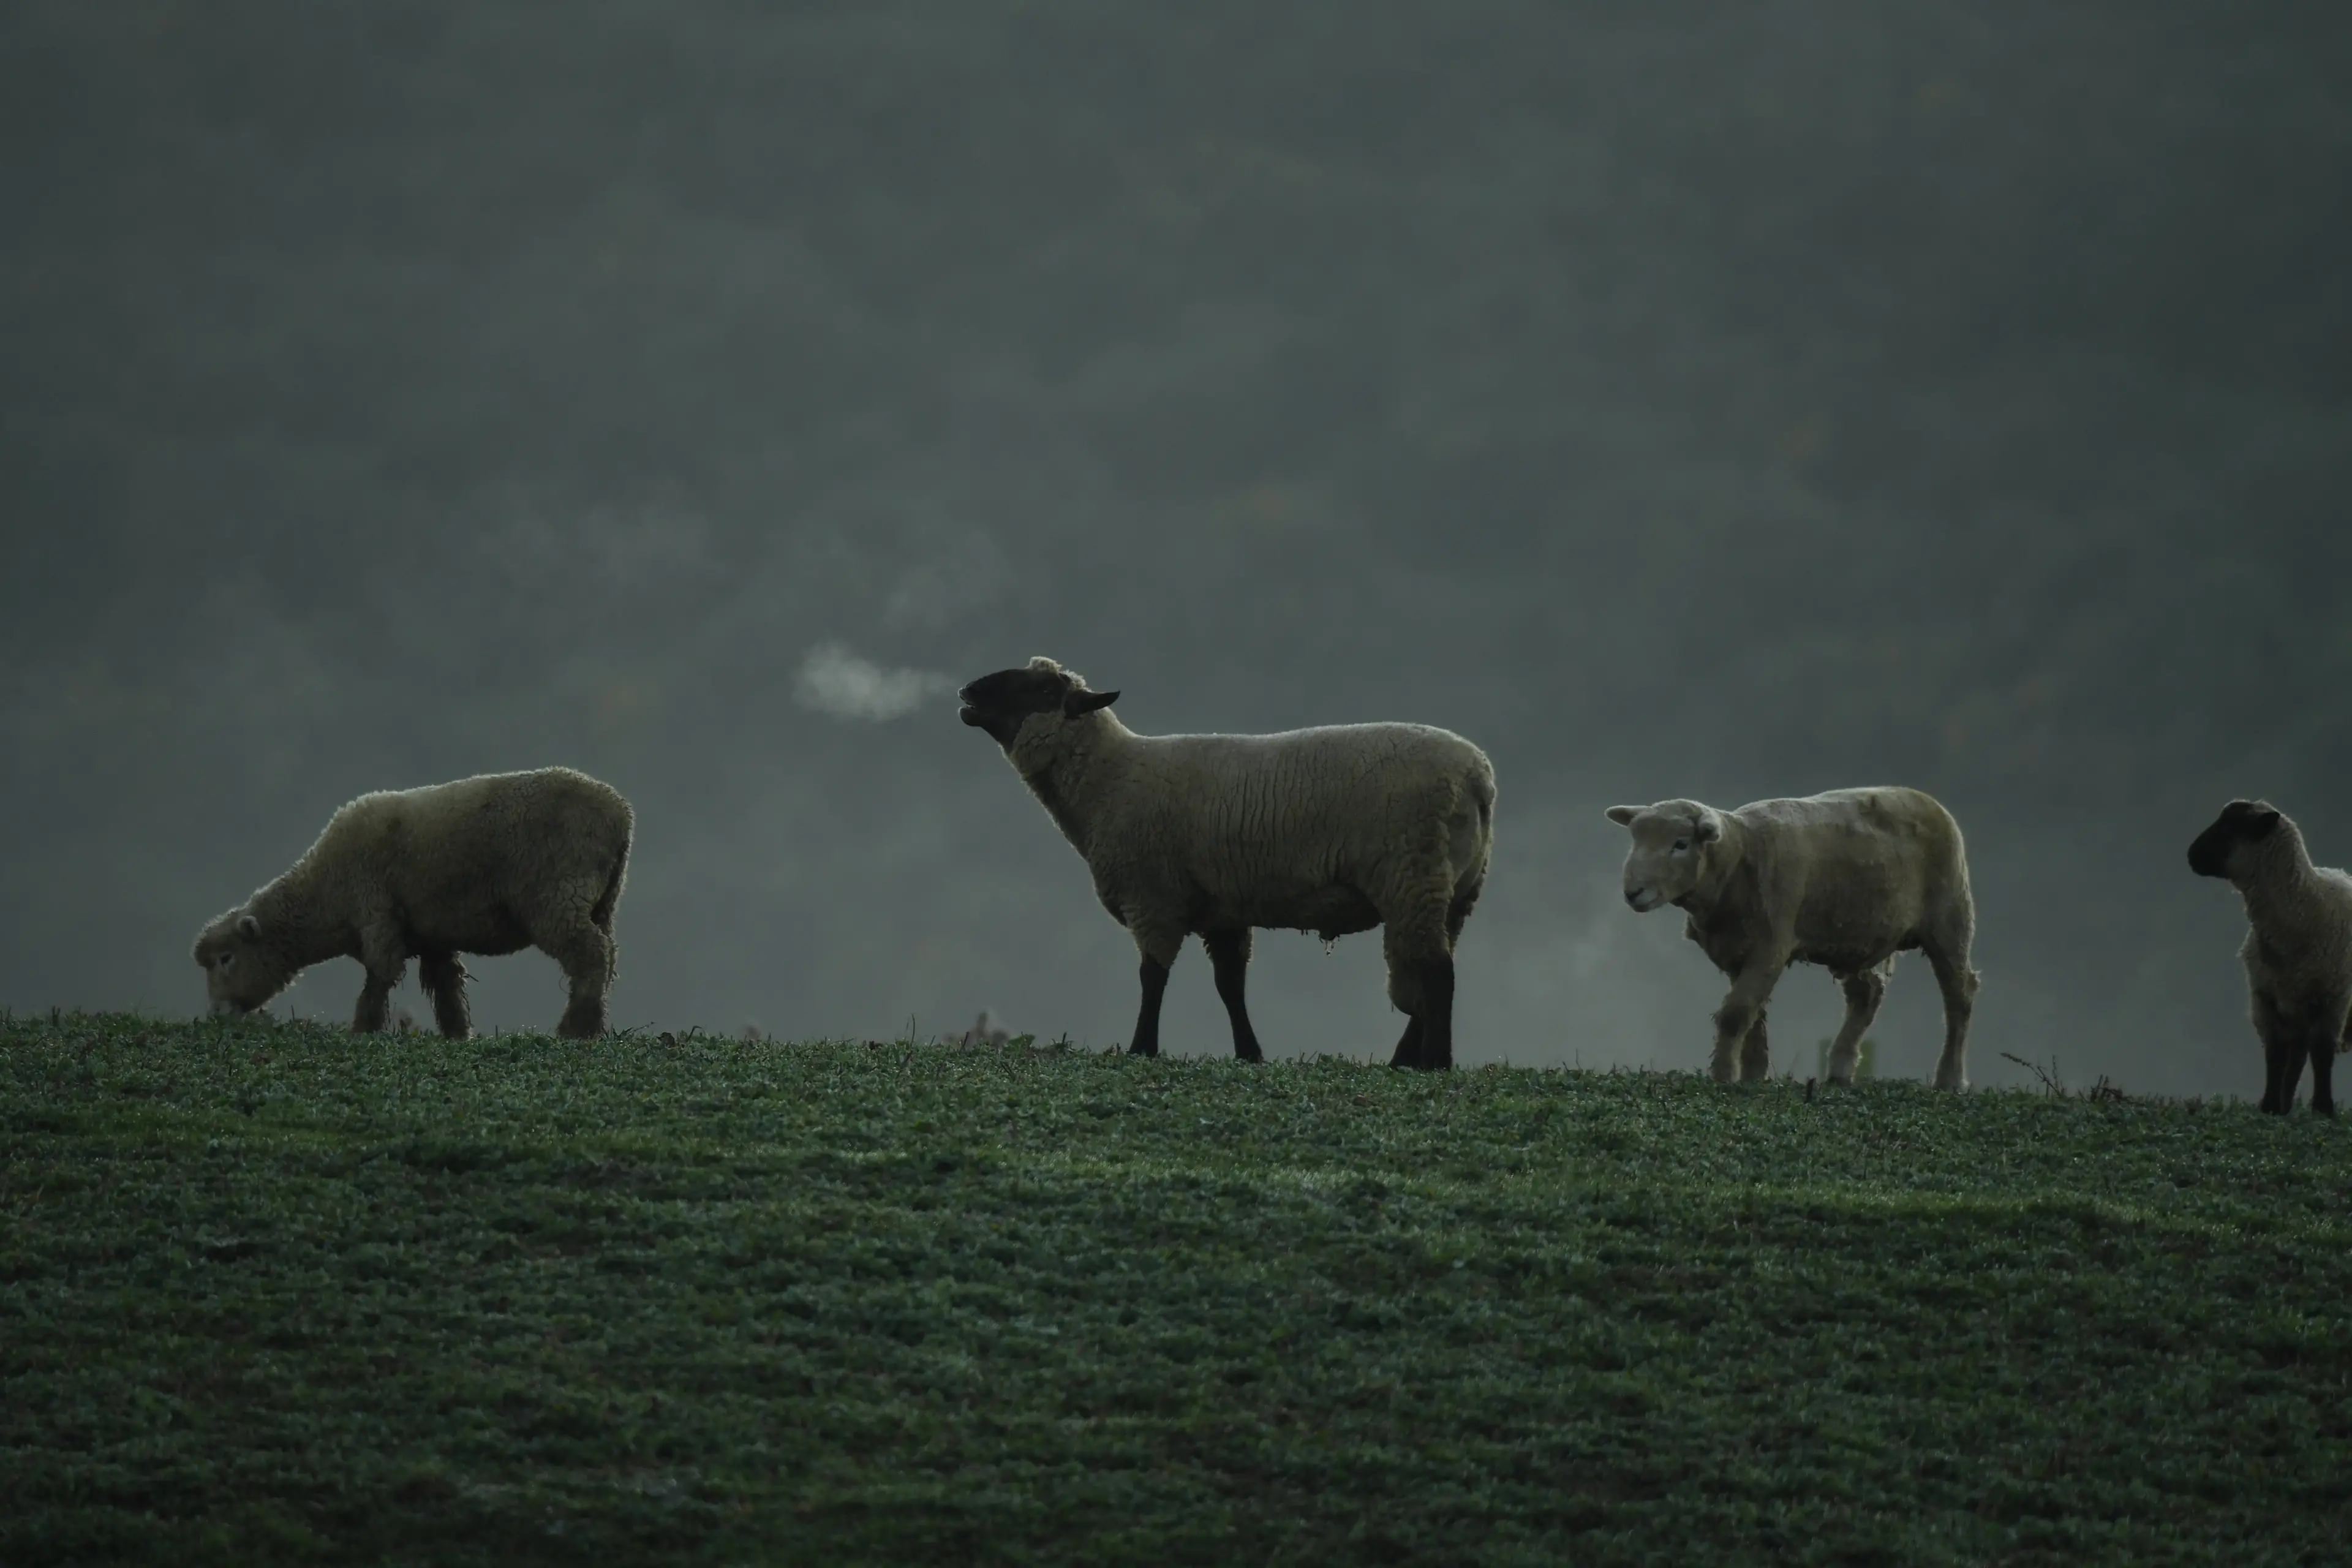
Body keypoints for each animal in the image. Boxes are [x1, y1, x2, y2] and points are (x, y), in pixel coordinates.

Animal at [191, 767, 633, 1039]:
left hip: (558, 895)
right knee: (607, 954)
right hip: (603, 902)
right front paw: (458, 1034)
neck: (323, 892)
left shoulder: (376, 913)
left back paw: (576, 1028)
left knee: (591, 955)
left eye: (226, 958)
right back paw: (593, 1023)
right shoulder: (432, 935)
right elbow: (446, 986)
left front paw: (363, 1030)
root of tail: (620, 814)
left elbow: (379, 976)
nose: (216, 1015)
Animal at [956, 657, 1495, 1070]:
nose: (967, 691)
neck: (1109, 779)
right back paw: (1406, 1059)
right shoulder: (1223, 909)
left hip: (1413, 874)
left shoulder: (1154, 896)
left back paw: (1437, 1062)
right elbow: (1230, 987)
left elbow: (1152, 976)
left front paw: (1141, 1049)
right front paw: (1249, 1054)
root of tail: (1478, 776)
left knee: (1437, 973)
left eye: (1043, 689)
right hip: (1455, 889)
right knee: (1428, 970)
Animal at [1606, 787, 1979, 1089]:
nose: (1632, 892)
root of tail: (1925, 799)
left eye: (1680, 844)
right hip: (1859, 937)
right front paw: (1753, 1075)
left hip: (1951, 918)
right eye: (1636, 842)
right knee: (1867, 996)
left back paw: (1950, 1078)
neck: (1739, 858)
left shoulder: (1771, 946)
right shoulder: (1738, 952)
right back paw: (1840, 1069)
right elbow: (1752, 1015)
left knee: (1959, 995)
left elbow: (1736, 1014)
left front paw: (1724, 1076)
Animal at [2187, 799, 2352, 1116]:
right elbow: (2276, 1055)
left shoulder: (2334, 997)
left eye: (2230, 829)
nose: (2191, 856)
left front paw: (2323, 1108)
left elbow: (2323, 1053)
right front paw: (2271, 1106)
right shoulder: (2266, 997)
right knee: (2297, 1054)